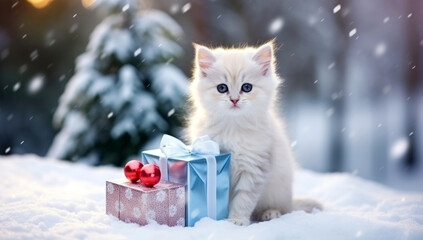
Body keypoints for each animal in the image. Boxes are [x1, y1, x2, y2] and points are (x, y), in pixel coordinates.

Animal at [187, 40, 322, 226]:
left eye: (246, 87)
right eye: (222, 88)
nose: (234, 99)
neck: (233, 127)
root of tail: (291, 201)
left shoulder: (254, 167)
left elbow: (243, 199)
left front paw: (236, 220)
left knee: (280, 209)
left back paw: (269, 213)